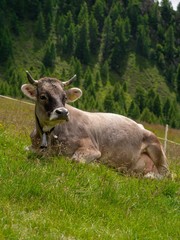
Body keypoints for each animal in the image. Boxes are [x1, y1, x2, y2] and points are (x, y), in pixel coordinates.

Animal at [21, 72, 170, 179]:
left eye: (65, 97)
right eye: (43, 96)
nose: (62, 112)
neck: (50, 135)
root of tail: (141, 126)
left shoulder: (92, 149)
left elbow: (75, 160)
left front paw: (97, 165)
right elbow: (27, 149)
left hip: (157, 147)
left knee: (167, 175)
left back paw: (150, 176)